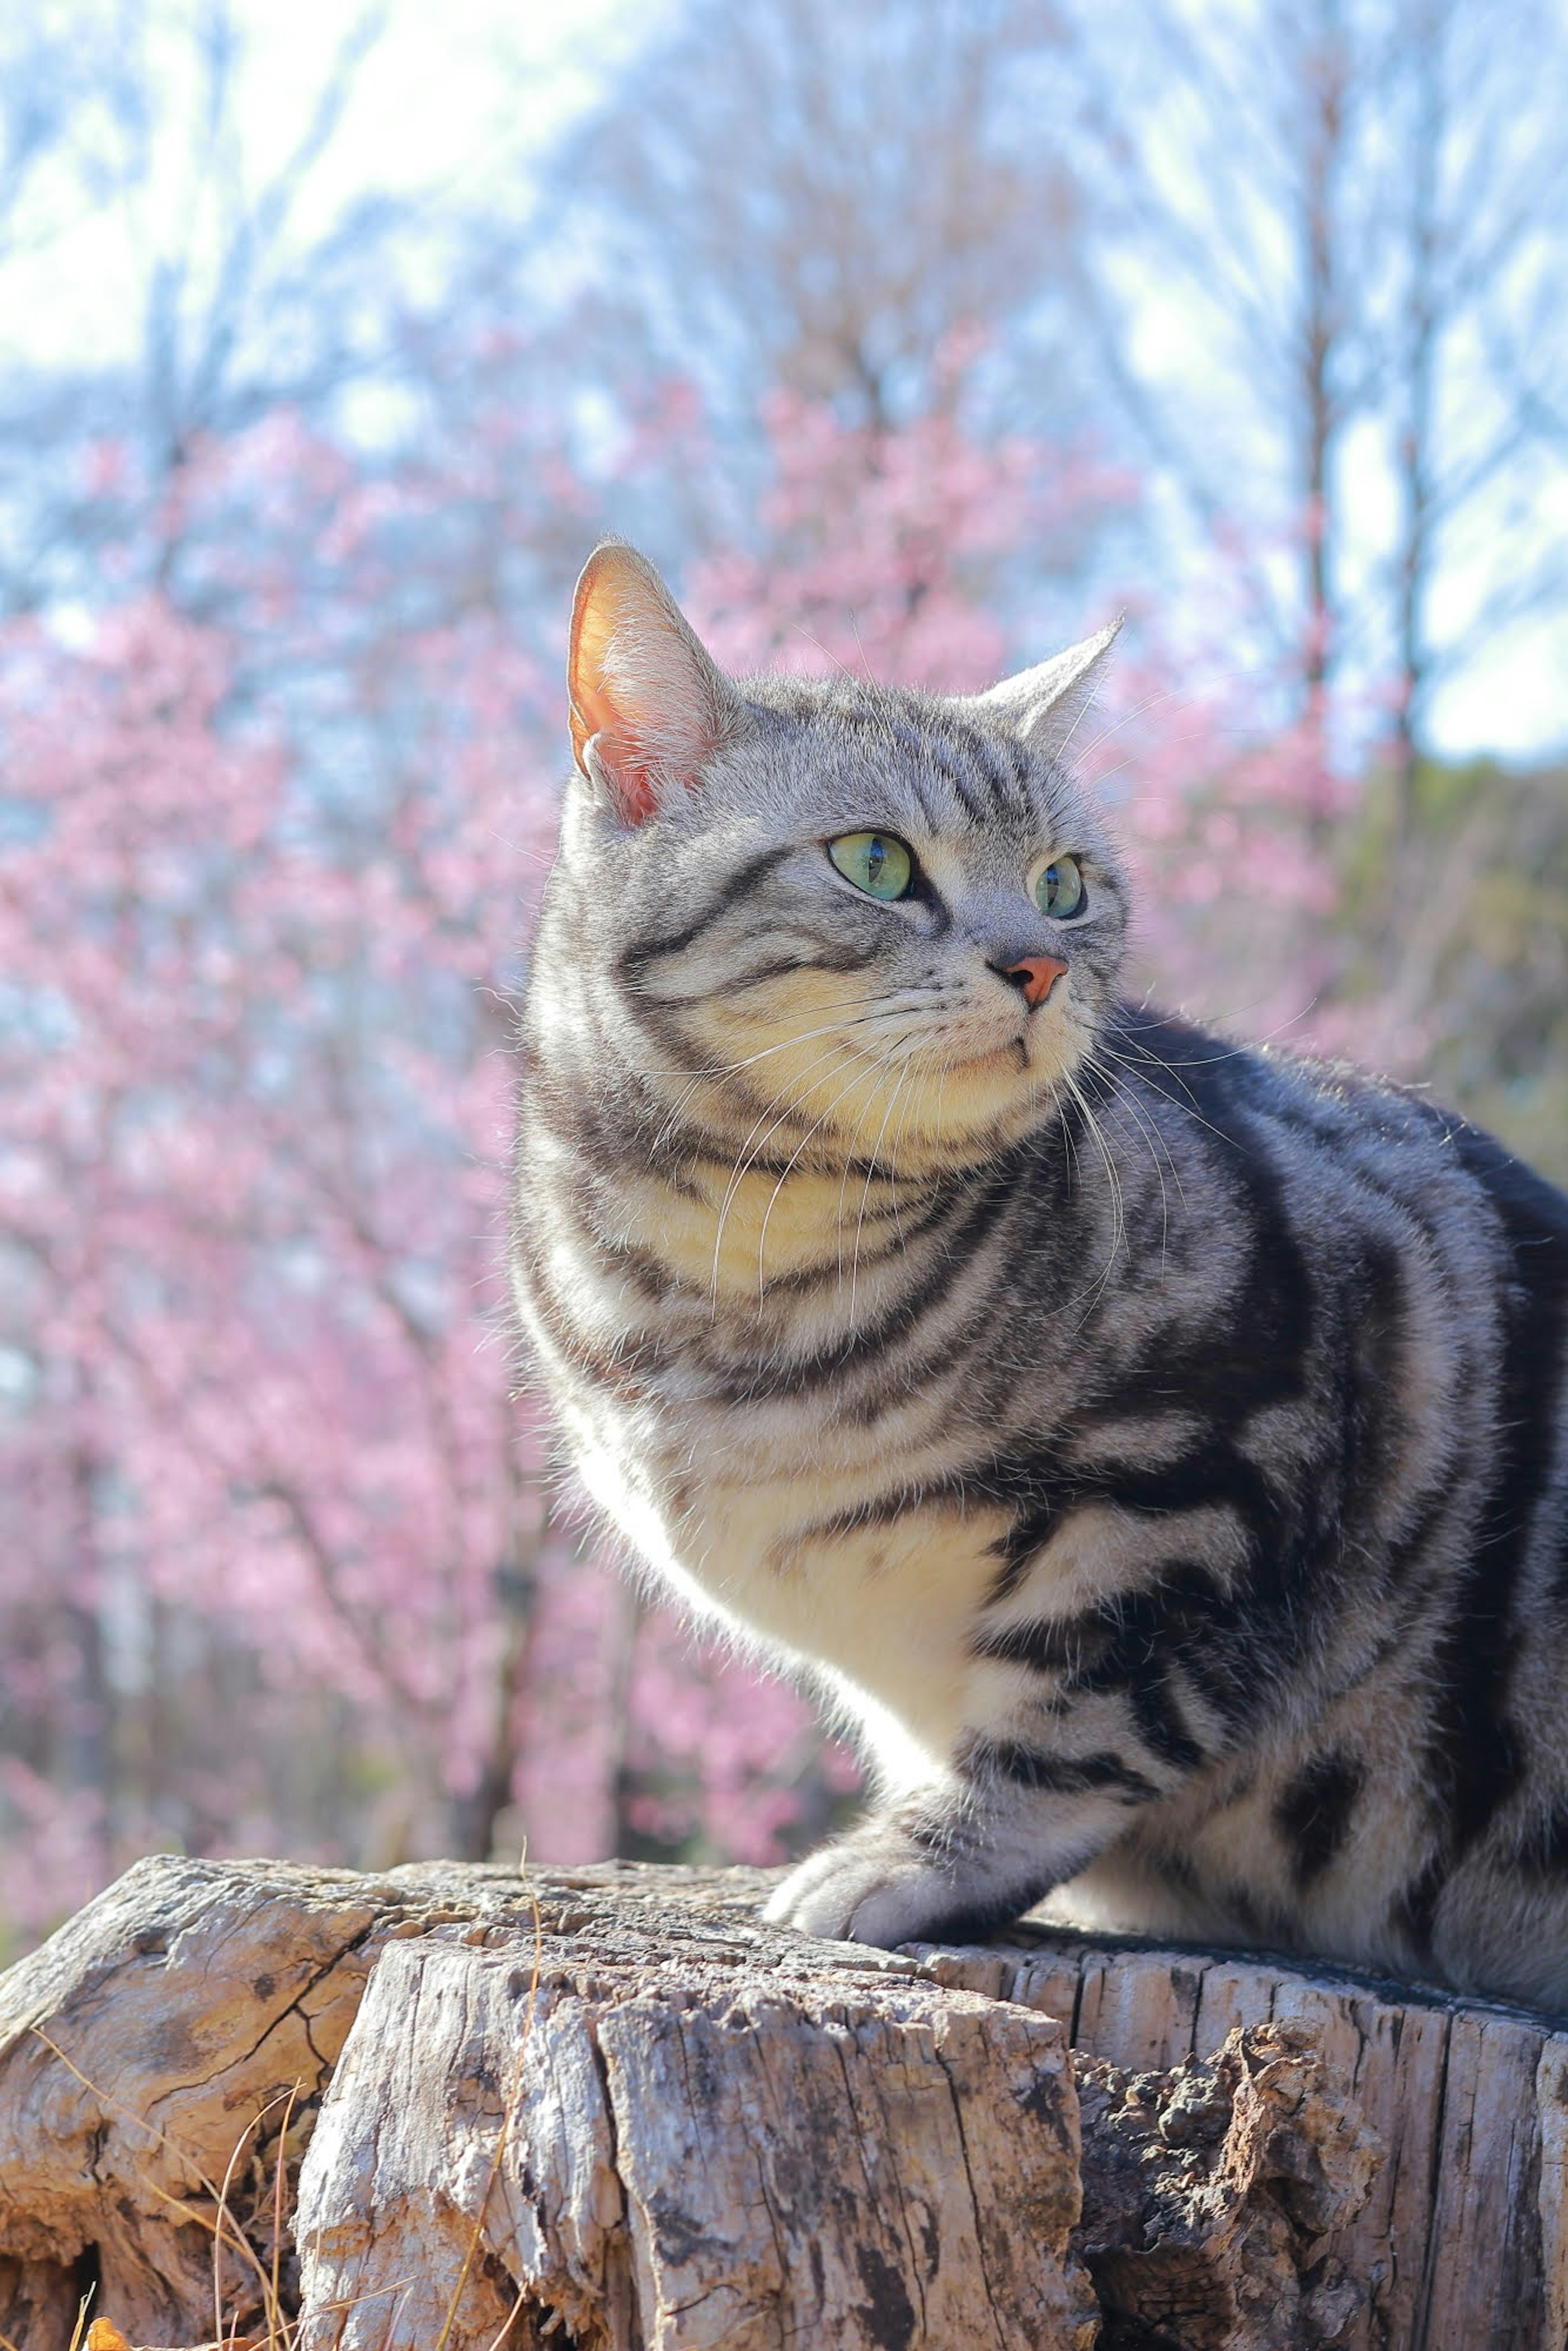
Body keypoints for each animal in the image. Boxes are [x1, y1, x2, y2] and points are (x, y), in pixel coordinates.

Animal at [512, 541, 1568, 2012]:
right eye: (876, 861)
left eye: (1068, 883)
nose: (1041, 961)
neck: (728, 1264)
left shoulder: (1219, 1470)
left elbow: (1086, 1713)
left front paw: (914, 1853)